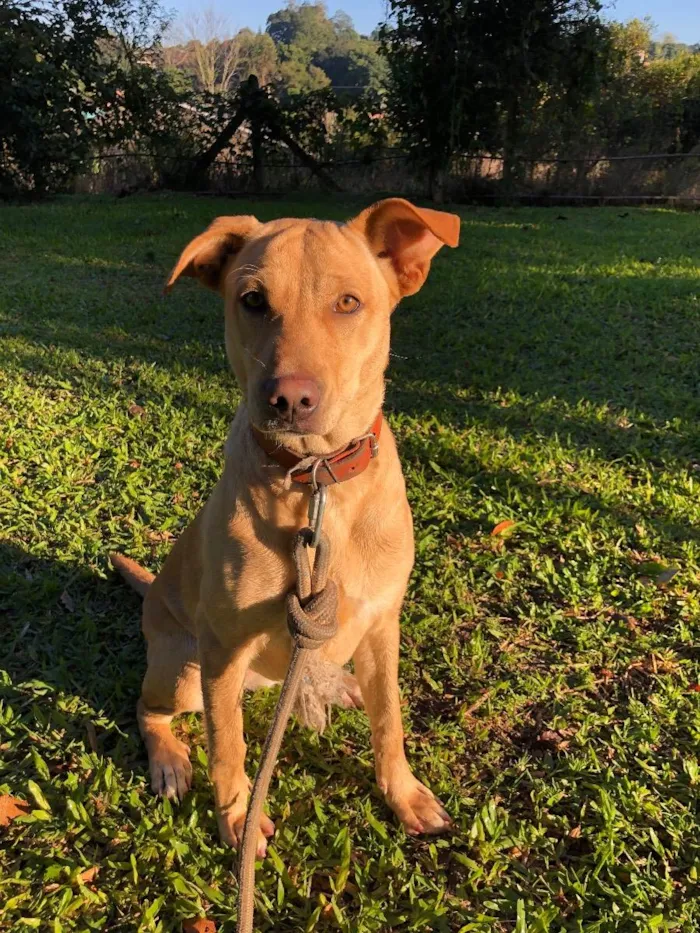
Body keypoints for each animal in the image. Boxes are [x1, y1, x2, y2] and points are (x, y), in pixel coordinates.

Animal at [109, 197, 460, 852]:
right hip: (184, 669)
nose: (289, 399)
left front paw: (402, 794)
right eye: (252, 300)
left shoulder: (384, 624)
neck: (318, 482)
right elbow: (229, 746)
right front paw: (237, 819)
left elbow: (390, 720)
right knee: (150, 709)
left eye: (348, 302)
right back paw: (168, 760)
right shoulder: (223, 649)